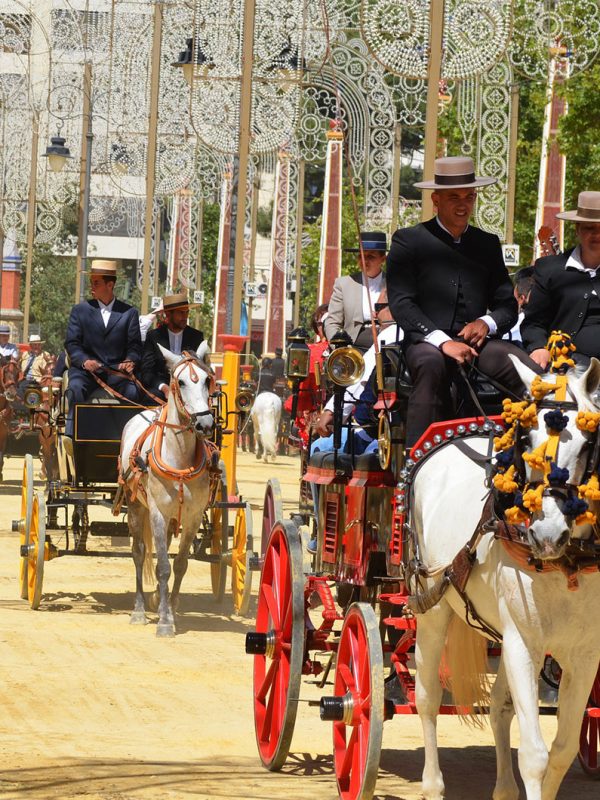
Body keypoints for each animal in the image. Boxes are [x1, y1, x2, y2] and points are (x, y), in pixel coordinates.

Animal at [118, 344, 216, 636]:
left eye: (207, 380)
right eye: (180, 382)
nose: (205, 424)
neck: (180, 458)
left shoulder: (193, 517)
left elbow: (180, 564)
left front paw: (171, 610)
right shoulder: (158, 514)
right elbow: (162, 566)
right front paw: (163, 621)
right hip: (137, 507)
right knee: (139, 553)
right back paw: (139, 610)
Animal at [412, 358, 600, 800]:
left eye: (587, 443)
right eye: (526, 437)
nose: (547, 534)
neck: (565, 564)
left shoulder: (586, 655)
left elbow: (562, 751)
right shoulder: (523, 643)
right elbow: (534, 755)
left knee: (499, 705)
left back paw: (503, 789)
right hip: (432, 603)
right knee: (426, 696)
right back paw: (432, 784)